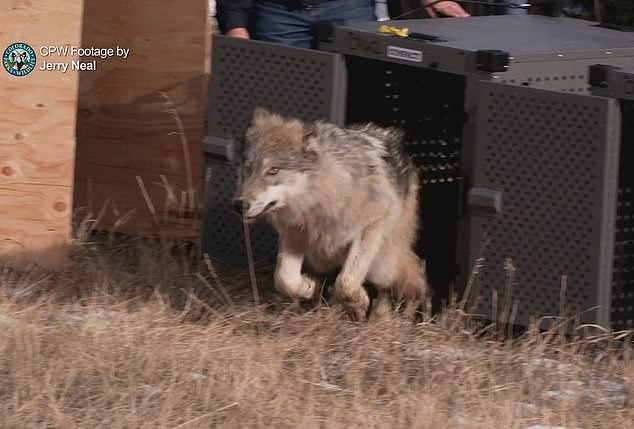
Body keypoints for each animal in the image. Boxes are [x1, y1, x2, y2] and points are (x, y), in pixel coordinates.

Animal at [230, 107, 428, 320]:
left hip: (383, 263)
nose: (239, 205)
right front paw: (310, 287)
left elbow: (346, 282)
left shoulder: (370, 228)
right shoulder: (293, 235)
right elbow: (285, 280)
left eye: (273, 170)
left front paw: (358, 304)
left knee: (407, 278)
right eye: (248, 168)